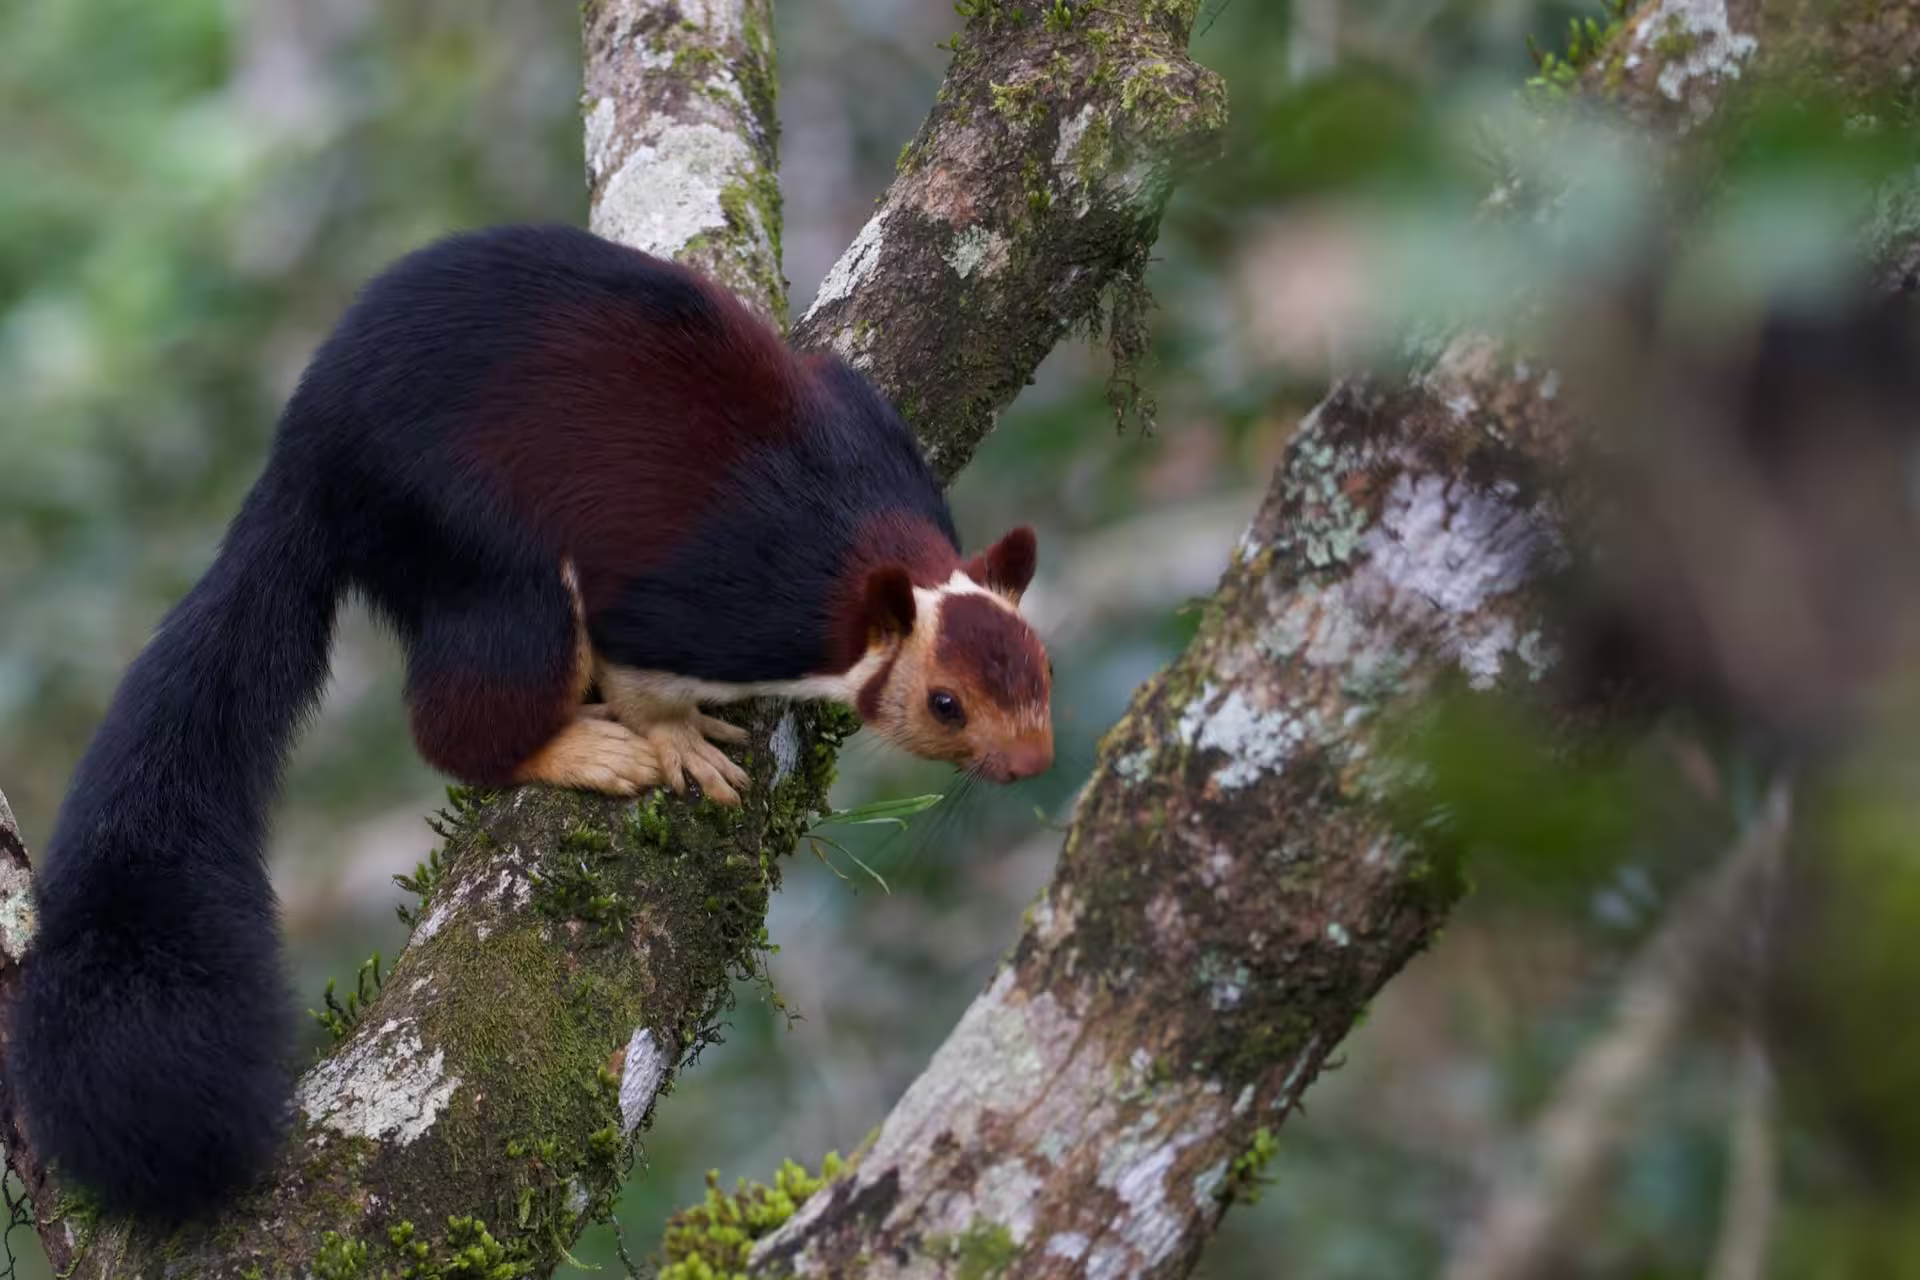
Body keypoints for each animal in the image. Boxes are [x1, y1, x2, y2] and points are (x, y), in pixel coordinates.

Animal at [8, 223, 1054, 1221]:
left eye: (1041, 669)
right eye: (945, 704)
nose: (1033, 761)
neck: (855, 543)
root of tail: (302, 458)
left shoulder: (871, 429)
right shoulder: (700, 604)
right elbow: (639, 666)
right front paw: (676, 740)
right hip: (466, 533)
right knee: (465, 710)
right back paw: (578, 747)